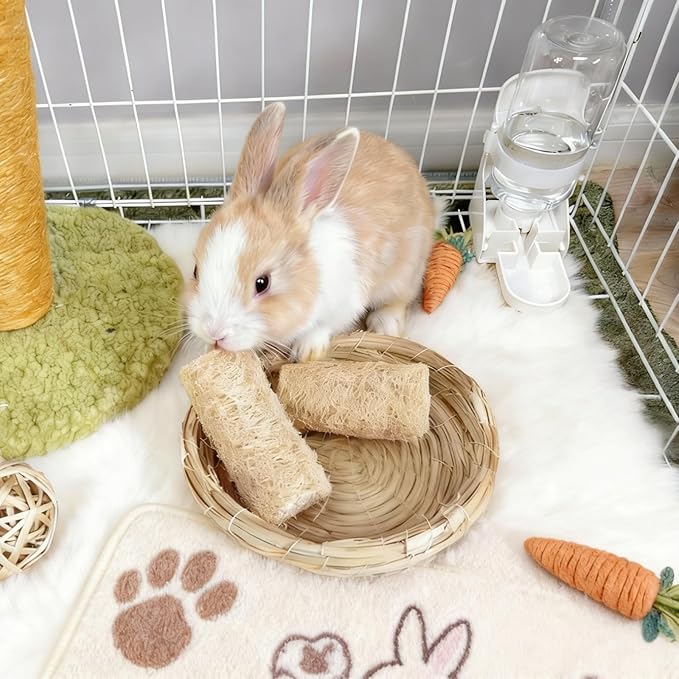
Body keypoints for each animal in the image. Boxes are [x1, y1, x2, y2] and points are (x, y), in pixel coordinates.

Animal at [186, 102, 440, 361]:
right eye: (196, 271)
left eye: (262, 283)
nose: (214, 333)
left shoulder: (345, 304)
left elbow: (323, 326)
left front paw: (307, 351)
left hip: (405, 274)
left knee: (399, 299)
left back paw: (385, 325)